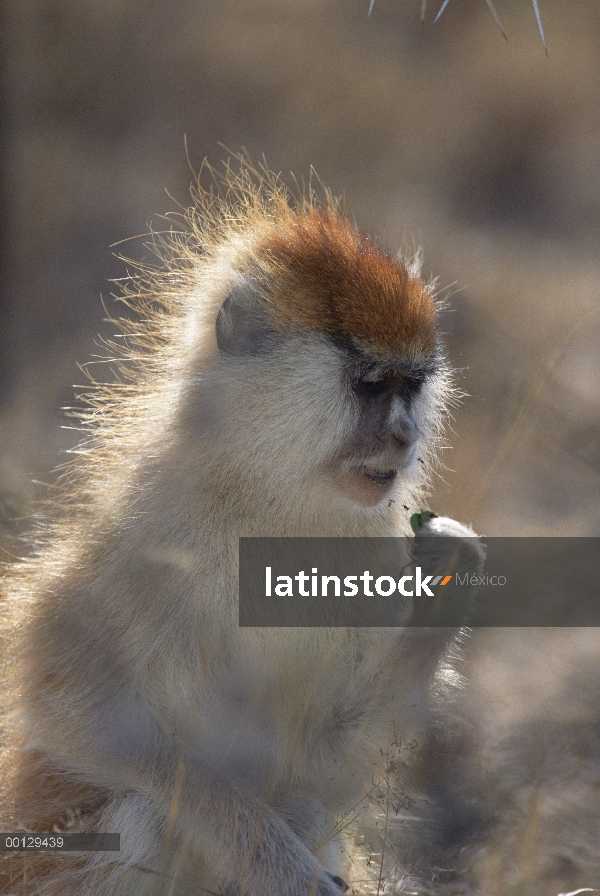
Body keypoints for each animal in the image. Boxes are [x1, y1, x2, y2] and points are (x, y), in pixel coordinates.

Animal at [0, 164, 478, 892]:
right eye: (371, 384)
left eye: (412, 386)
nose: (403, 438)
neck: (269, 493)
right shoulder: (157, 534)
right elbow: (76, 717)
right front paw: (290, 872)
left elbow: (327, 766)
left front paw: (448, 577)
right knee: (141, 815)